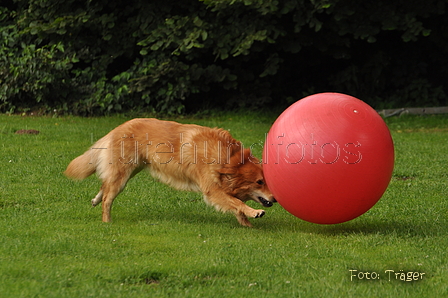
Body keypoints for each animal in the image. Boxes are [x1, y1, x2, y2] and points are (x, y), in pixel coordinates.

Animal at [64, 117, 274, 227]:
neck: (229, 158)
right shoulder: (212, 190)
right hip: (122, 176)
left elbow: (236, 205)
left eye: (266, 180)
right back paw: (107, 221)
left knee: (104, 185)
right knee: (108, 198)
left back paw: (95, 200)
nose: (275, 198)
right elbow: (237, 202)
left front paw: (247, 224)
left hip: (129, 171)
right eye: (259, 182)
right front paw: (254, 212)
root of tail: (118, 127)